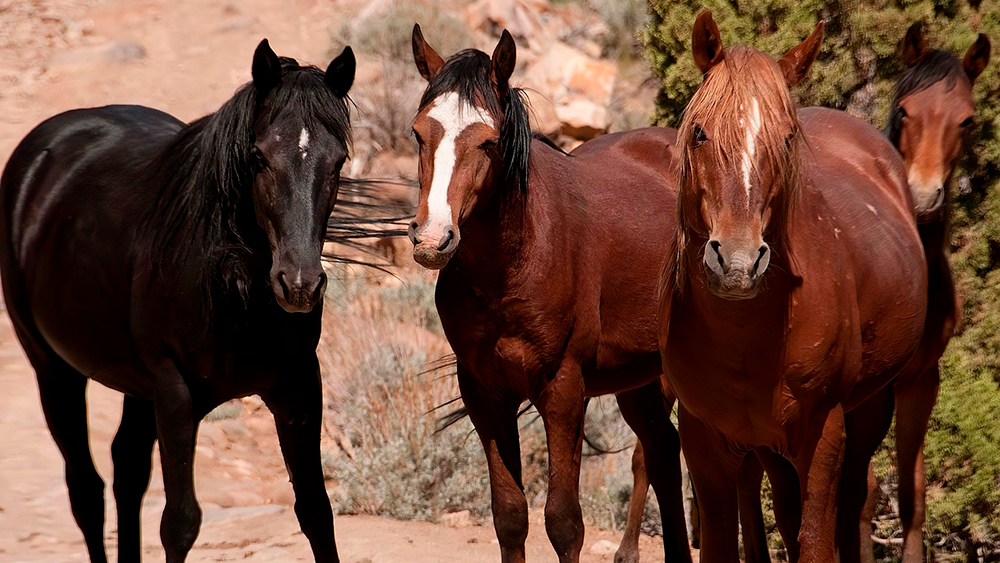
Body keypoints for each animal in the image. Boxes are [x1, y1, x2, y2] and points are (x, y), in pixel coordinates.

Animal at [0, 40, 355, 563]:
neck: (232, 294)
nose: (299, 285)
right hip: (54, 370)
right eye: (259, 156)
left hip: (133, 385)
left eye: (338, 162)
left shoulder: (298, 386)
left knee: (126, 473)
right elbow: (181, 523)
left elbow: (316, 511)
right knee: (86, 490)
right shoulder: (174, 391)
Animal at [407, 24, 692, 563]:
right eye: (417, 133)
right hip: (637, 381)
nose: (433, 238)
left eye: (489, 141)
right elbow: (509, 516)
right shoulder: (485, 395)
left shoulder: (563, 393)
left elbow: (563, 523)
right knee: (662, 453)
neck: (512, 268)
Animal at [658, 11, 928, 563]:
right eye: (699, 133)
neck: (744, 336)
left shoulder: (822, 435)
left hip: (872, 409)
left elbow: (816, 541)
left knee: (857, 500)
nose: (737, 263)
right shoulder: (704, 439)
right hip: (769, 448)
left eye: (785, 139)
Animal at [836, 23, 991, 563]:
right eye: (904, 110)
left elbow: (911, 497)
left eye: (966, 120)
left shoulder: (921, 381)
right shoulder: (864, 392)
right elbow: (862, 495)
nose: (922, 196)